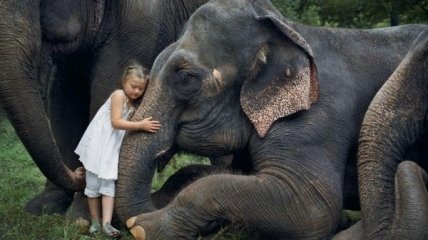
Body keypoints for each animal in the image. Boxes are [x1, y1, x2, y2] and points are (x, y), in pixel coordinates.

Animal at [0, 0, 209, 216]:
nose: (79, 173)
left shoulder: (144, 22)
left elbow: (107, 87)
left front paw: (81, 216)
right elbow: (63, 99)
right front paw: (43, 207)